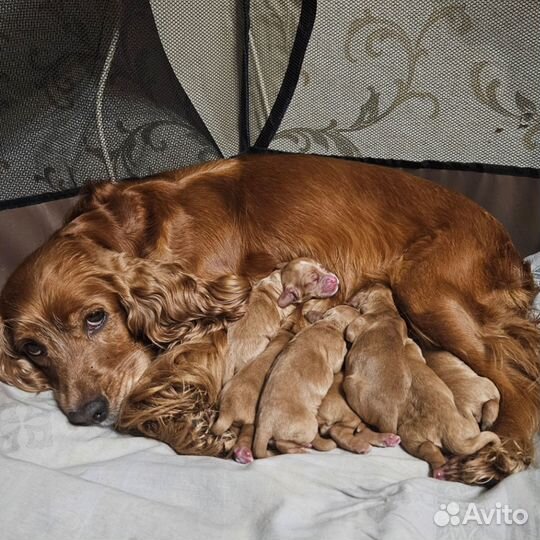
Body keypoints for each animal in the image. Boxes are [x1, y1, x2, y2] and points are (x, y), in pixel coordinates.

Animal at [252, 306, 360, 458]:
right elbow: (339, 362)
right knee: (283, 444)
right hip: (309, 427)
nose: (359, 309)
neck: (329, 324)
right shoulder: (337, 354)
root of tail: (264, 427)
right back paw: (301, 449)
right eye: (358, 313)